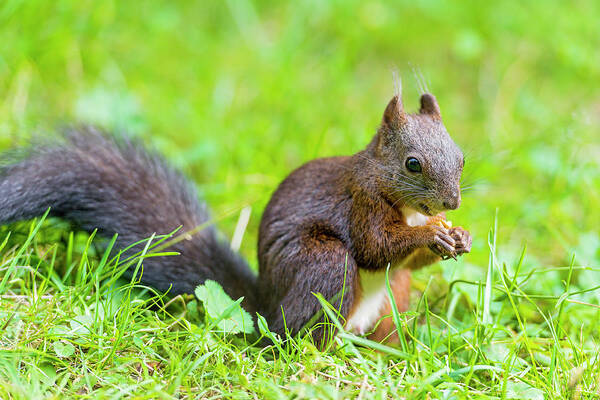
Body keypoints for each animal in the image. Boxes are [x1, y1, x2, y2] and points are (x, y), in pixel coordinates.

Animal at [0, 89, 468, 346]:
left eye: (462, 158)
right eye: (412, 164)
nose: (452, 204)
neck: (410, 210)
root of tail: (265, 309)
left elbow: (404, 260)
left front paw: (460, 237)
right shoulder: (359, 201)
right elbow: (375, 247)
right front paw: (433, 236)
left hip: (394, 298)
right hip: (323, 264)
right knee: (295, 335)